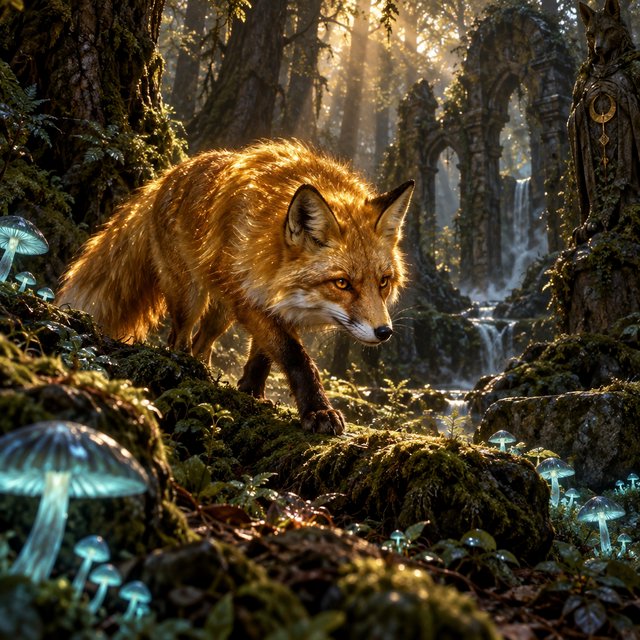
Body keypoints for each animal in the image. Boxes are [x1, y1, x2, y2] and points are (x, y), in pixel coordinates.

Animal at [59, 139, 414, 436]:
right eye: (342, 283)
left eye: (383, 282)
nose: (384, 332)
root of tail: (168, 175)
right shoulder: (248, 299)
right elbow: (295, 356)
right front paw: (318, 410)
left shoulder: (269, 303)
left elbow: (264, 355)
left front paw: (251, 391)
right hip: (191, 296)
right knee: (178, 339)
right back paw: (188, 370)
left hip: (221, 313)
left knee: (202, 343)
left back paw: (206, 371)